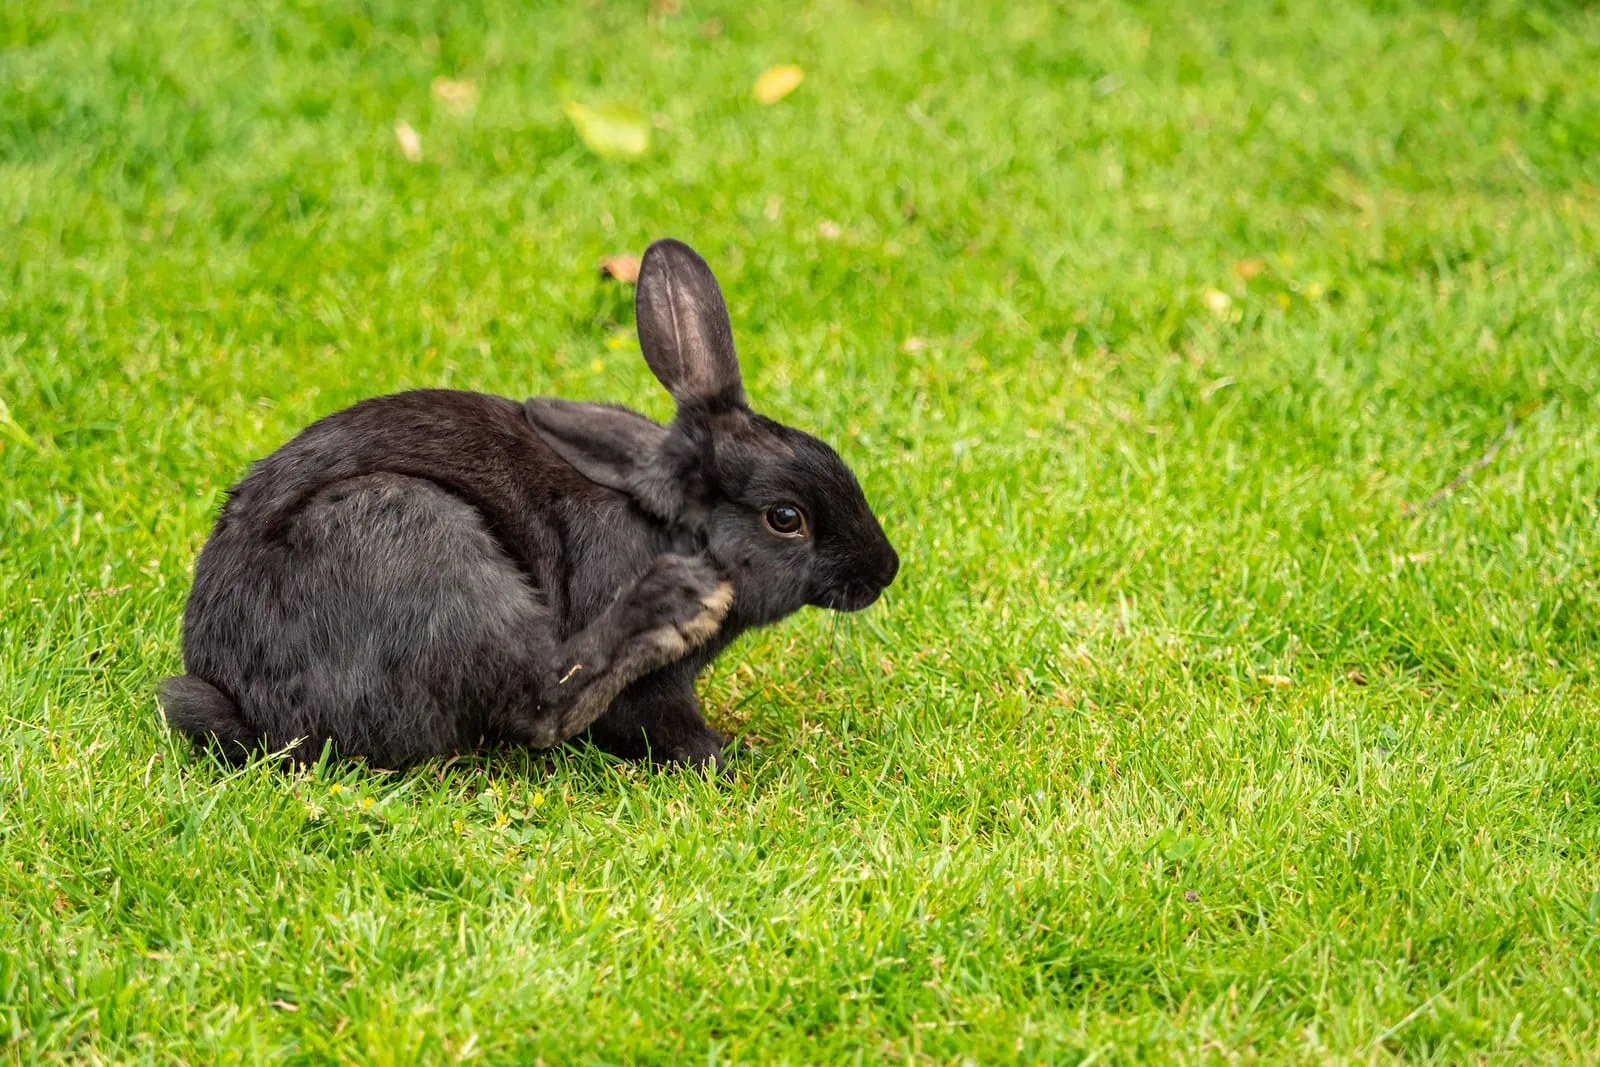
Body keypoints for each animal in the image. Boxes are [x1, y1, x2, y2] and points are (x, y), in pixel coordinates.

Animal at [159, 238, 899, 770]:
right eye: (786, 518)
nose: (884, 570)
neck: (671, 530)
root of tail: (254, 710)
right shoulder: (654, 692)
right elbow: (649, 721)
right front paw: (726, 755)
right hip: (416, 540)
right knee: (538, 702)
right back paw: (667, 604)